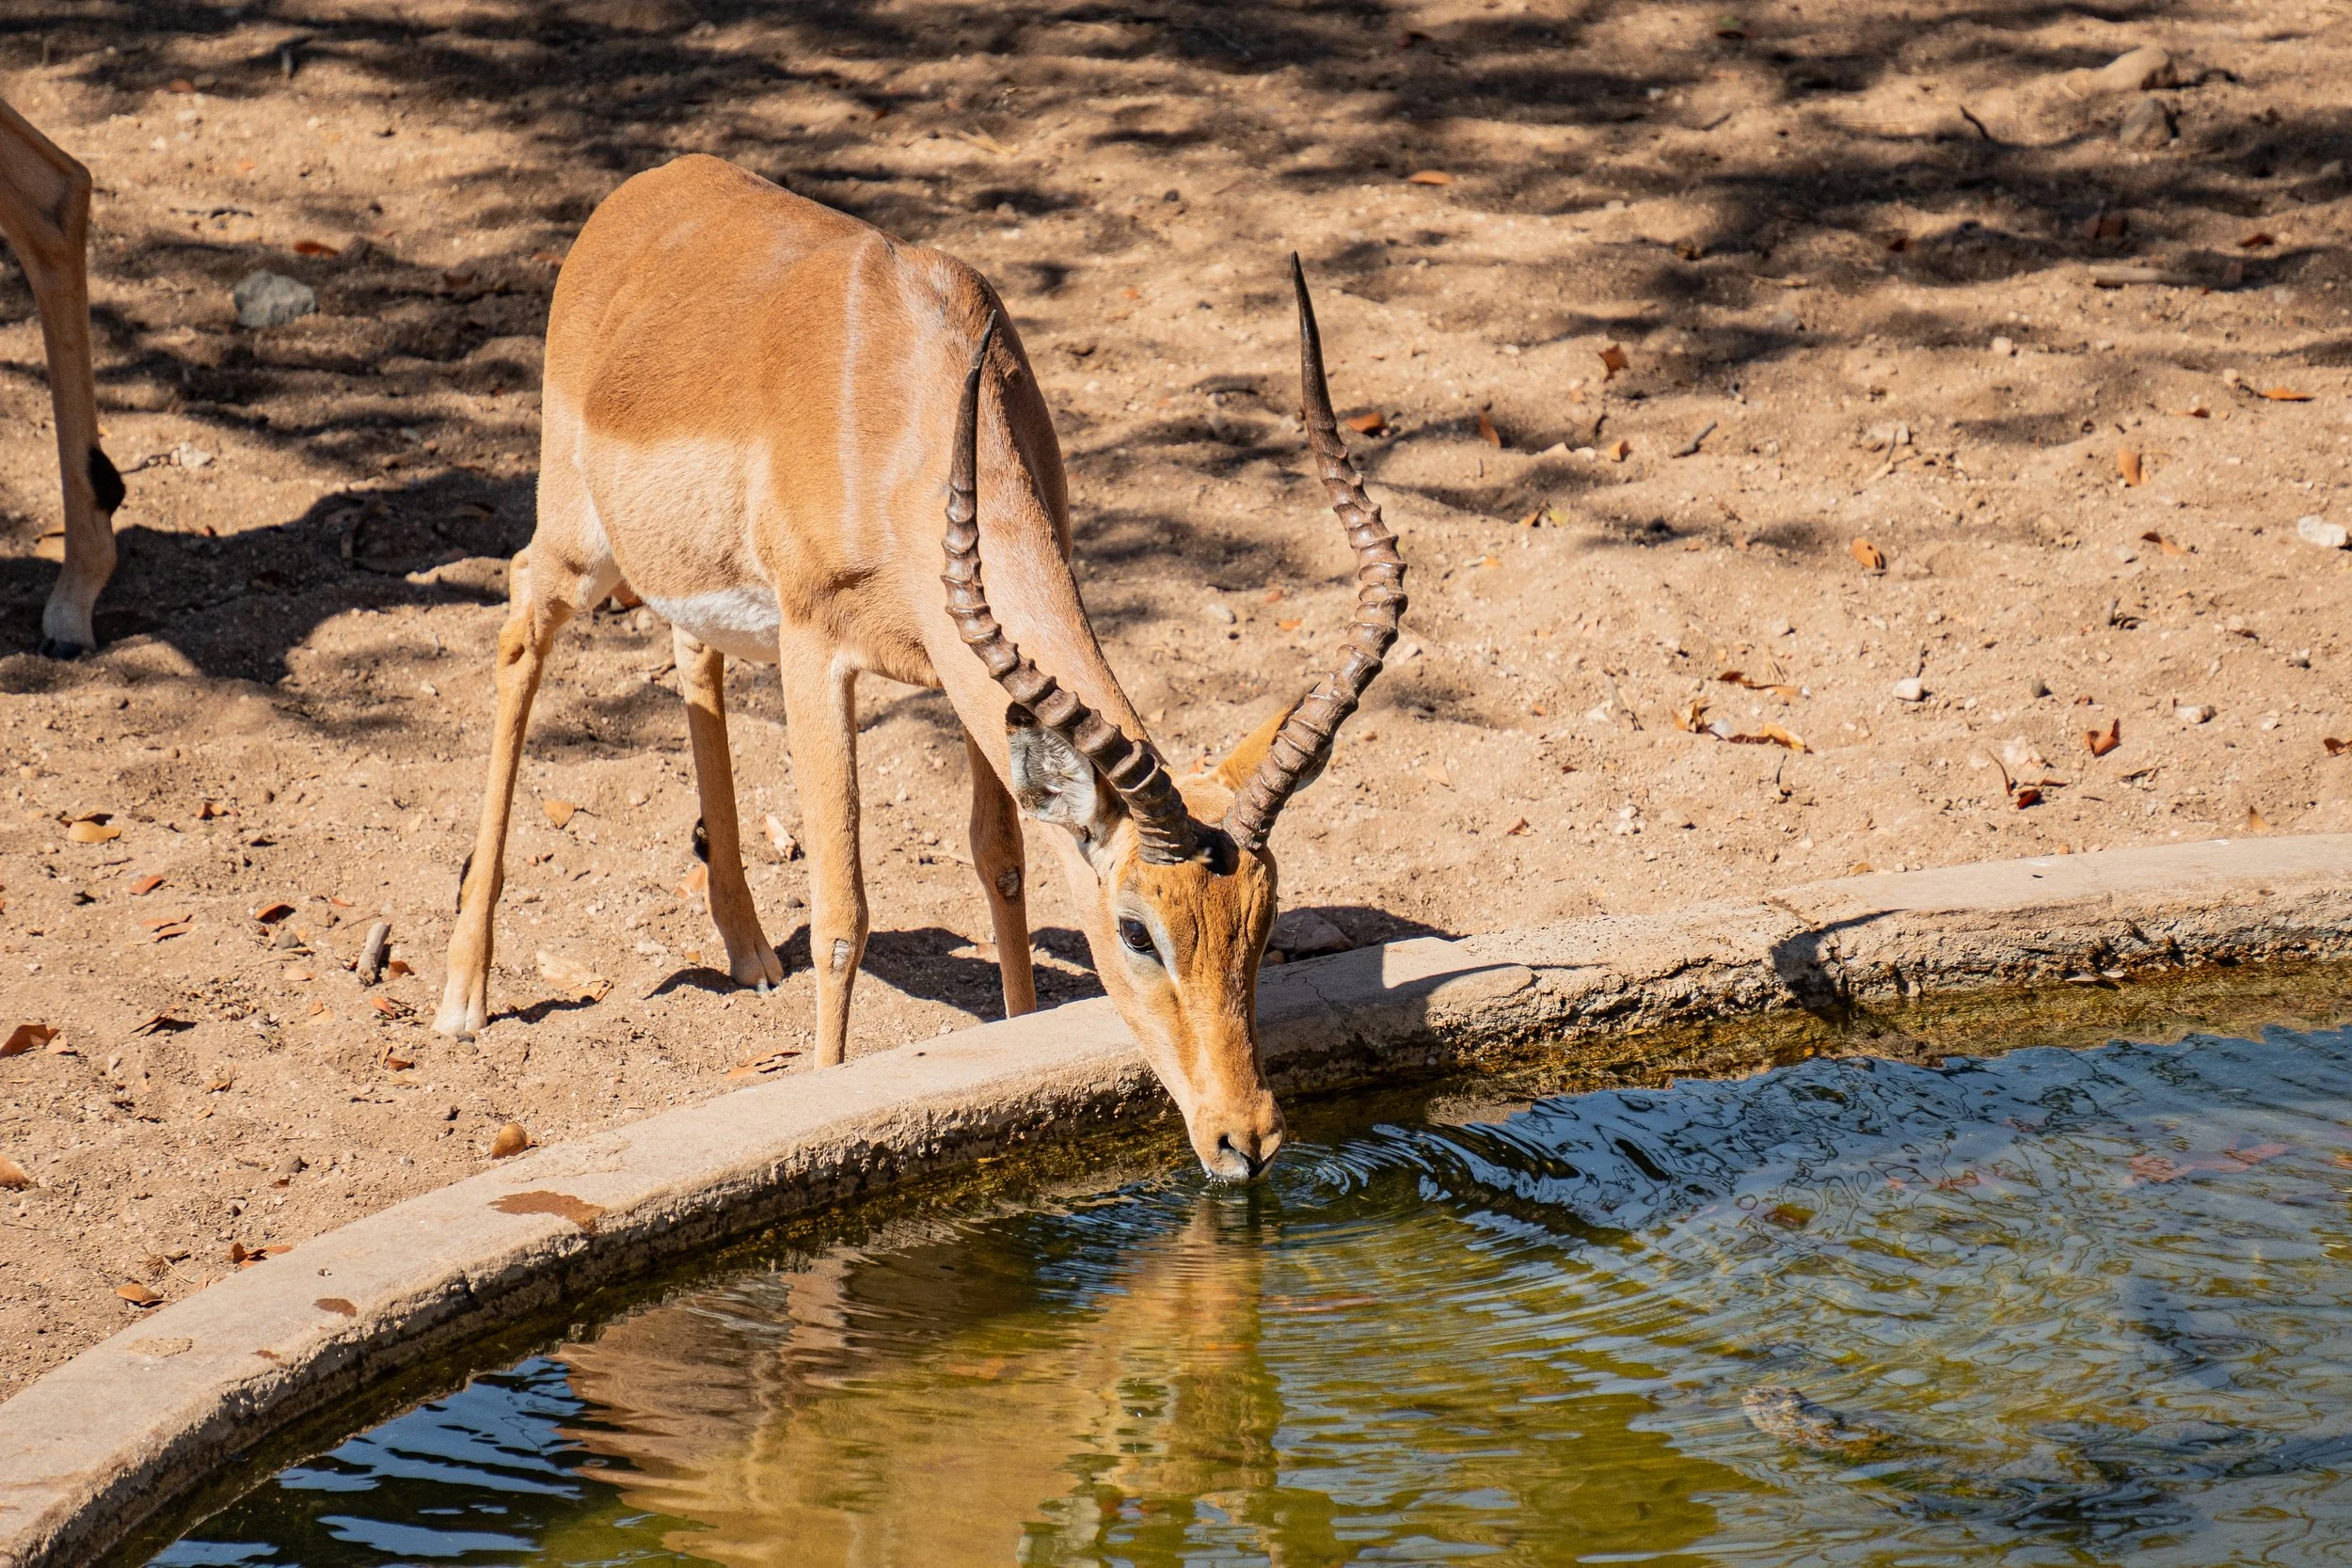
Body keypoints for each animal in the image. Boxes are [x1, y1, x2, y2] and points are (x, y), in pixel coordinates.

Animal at [436, 155, 1404, 1180]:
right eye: (1138, 927)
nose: (1245, 1138)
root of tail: (645, 192)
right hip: (580, 548)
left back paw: (746, 949)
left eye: (1264, 917)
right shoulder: (816, 650)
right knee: (519, 621)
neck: (901, 395)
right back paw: (462, 997)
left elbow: (1002, 863)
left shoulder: (971, 666)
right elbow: (841, 912)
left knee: (692, 655)